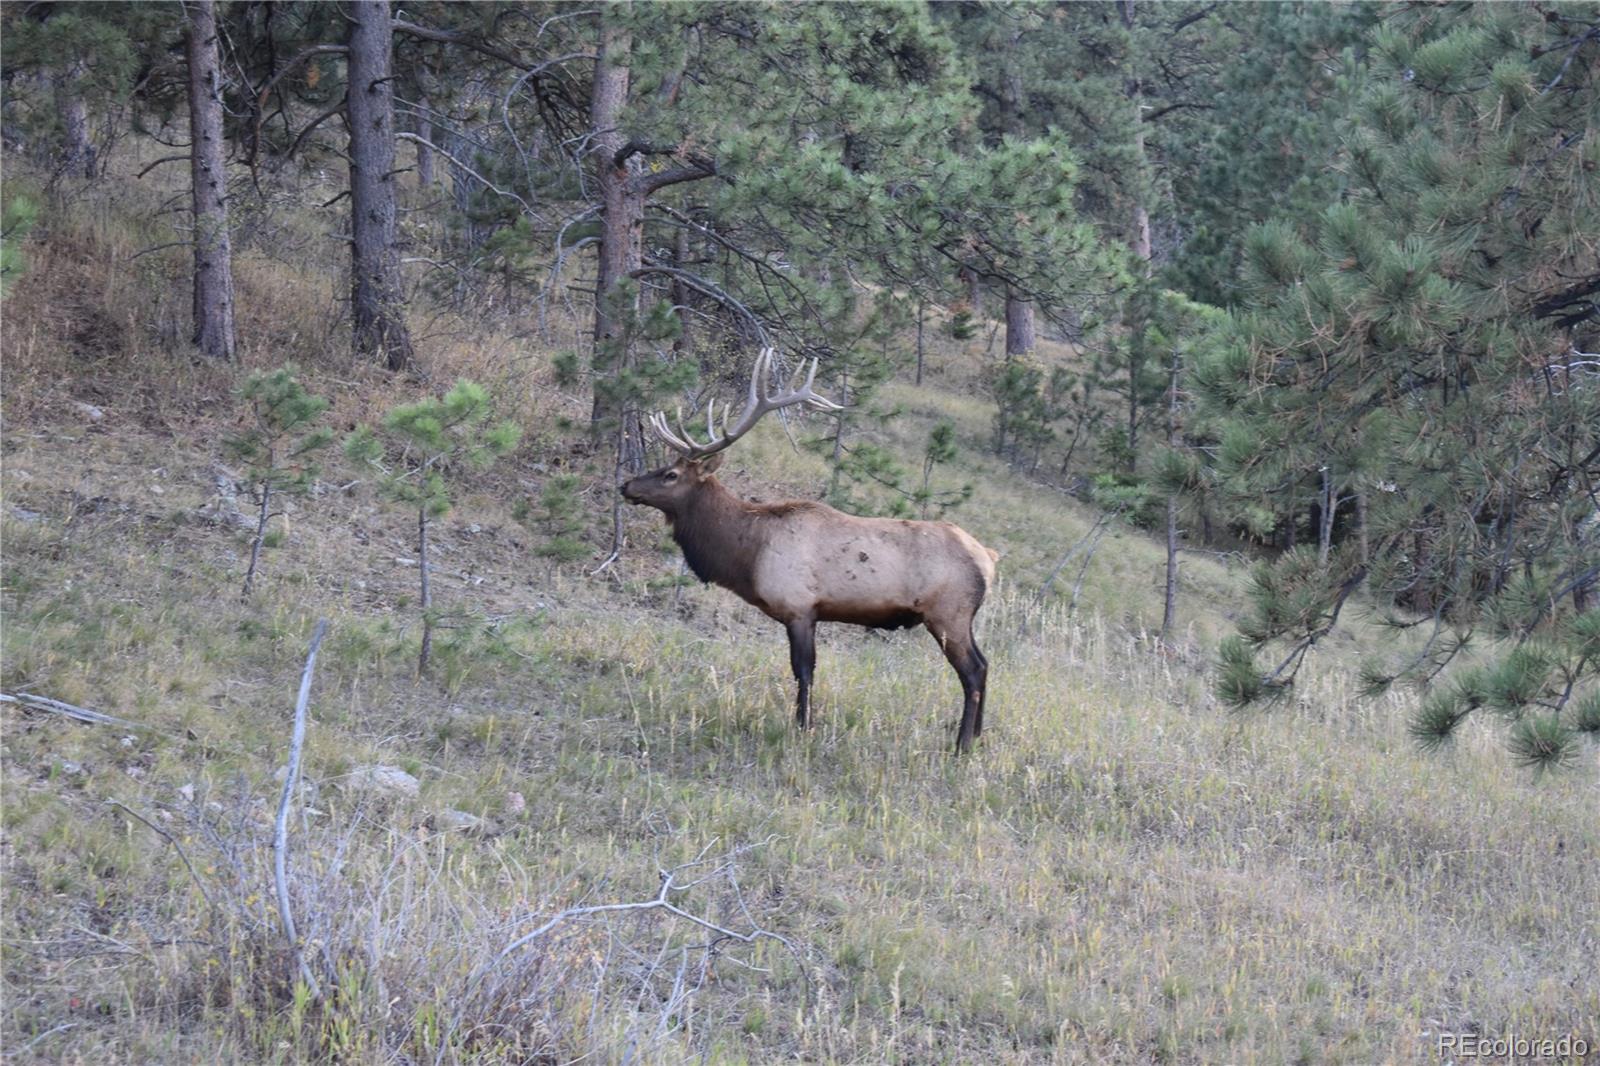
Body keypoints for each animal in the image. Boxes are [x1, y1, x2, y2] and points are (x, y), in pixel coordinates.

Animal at [621, 348, 999, 753]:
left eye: (670, 475)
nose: (626, 485)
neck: (748, 551)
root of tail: (989, 559)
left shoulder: (799, 607)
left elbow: (803, 670)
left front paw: (803, 728)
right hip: (961, 617)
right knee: (985, 664)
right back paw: (978, 737)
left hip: (948, 613)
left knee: (972, 671)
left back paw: (962, 745)